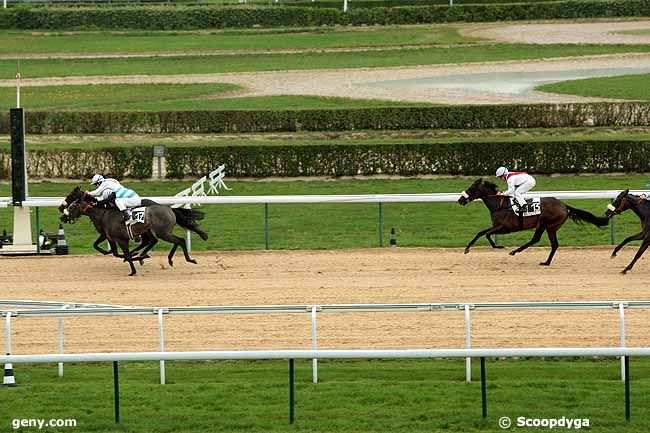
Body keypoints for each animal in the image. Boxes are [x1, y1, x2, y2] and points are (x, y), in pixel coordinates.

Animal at [456, 178, 608, 264]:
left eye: (471, 188)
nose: (460, 200)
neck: (500, 206)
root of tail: (564, 205)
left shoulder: (505, 228)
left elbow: (487, 234)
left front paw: (498, 246)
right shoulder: (496, 226)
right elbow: (480, 233)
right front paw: (467, 249)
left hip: (544, 223)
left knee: (536, 239)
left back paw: (515, 251)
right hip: (552, 227)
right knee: (554, 244)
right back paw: (546, 262)